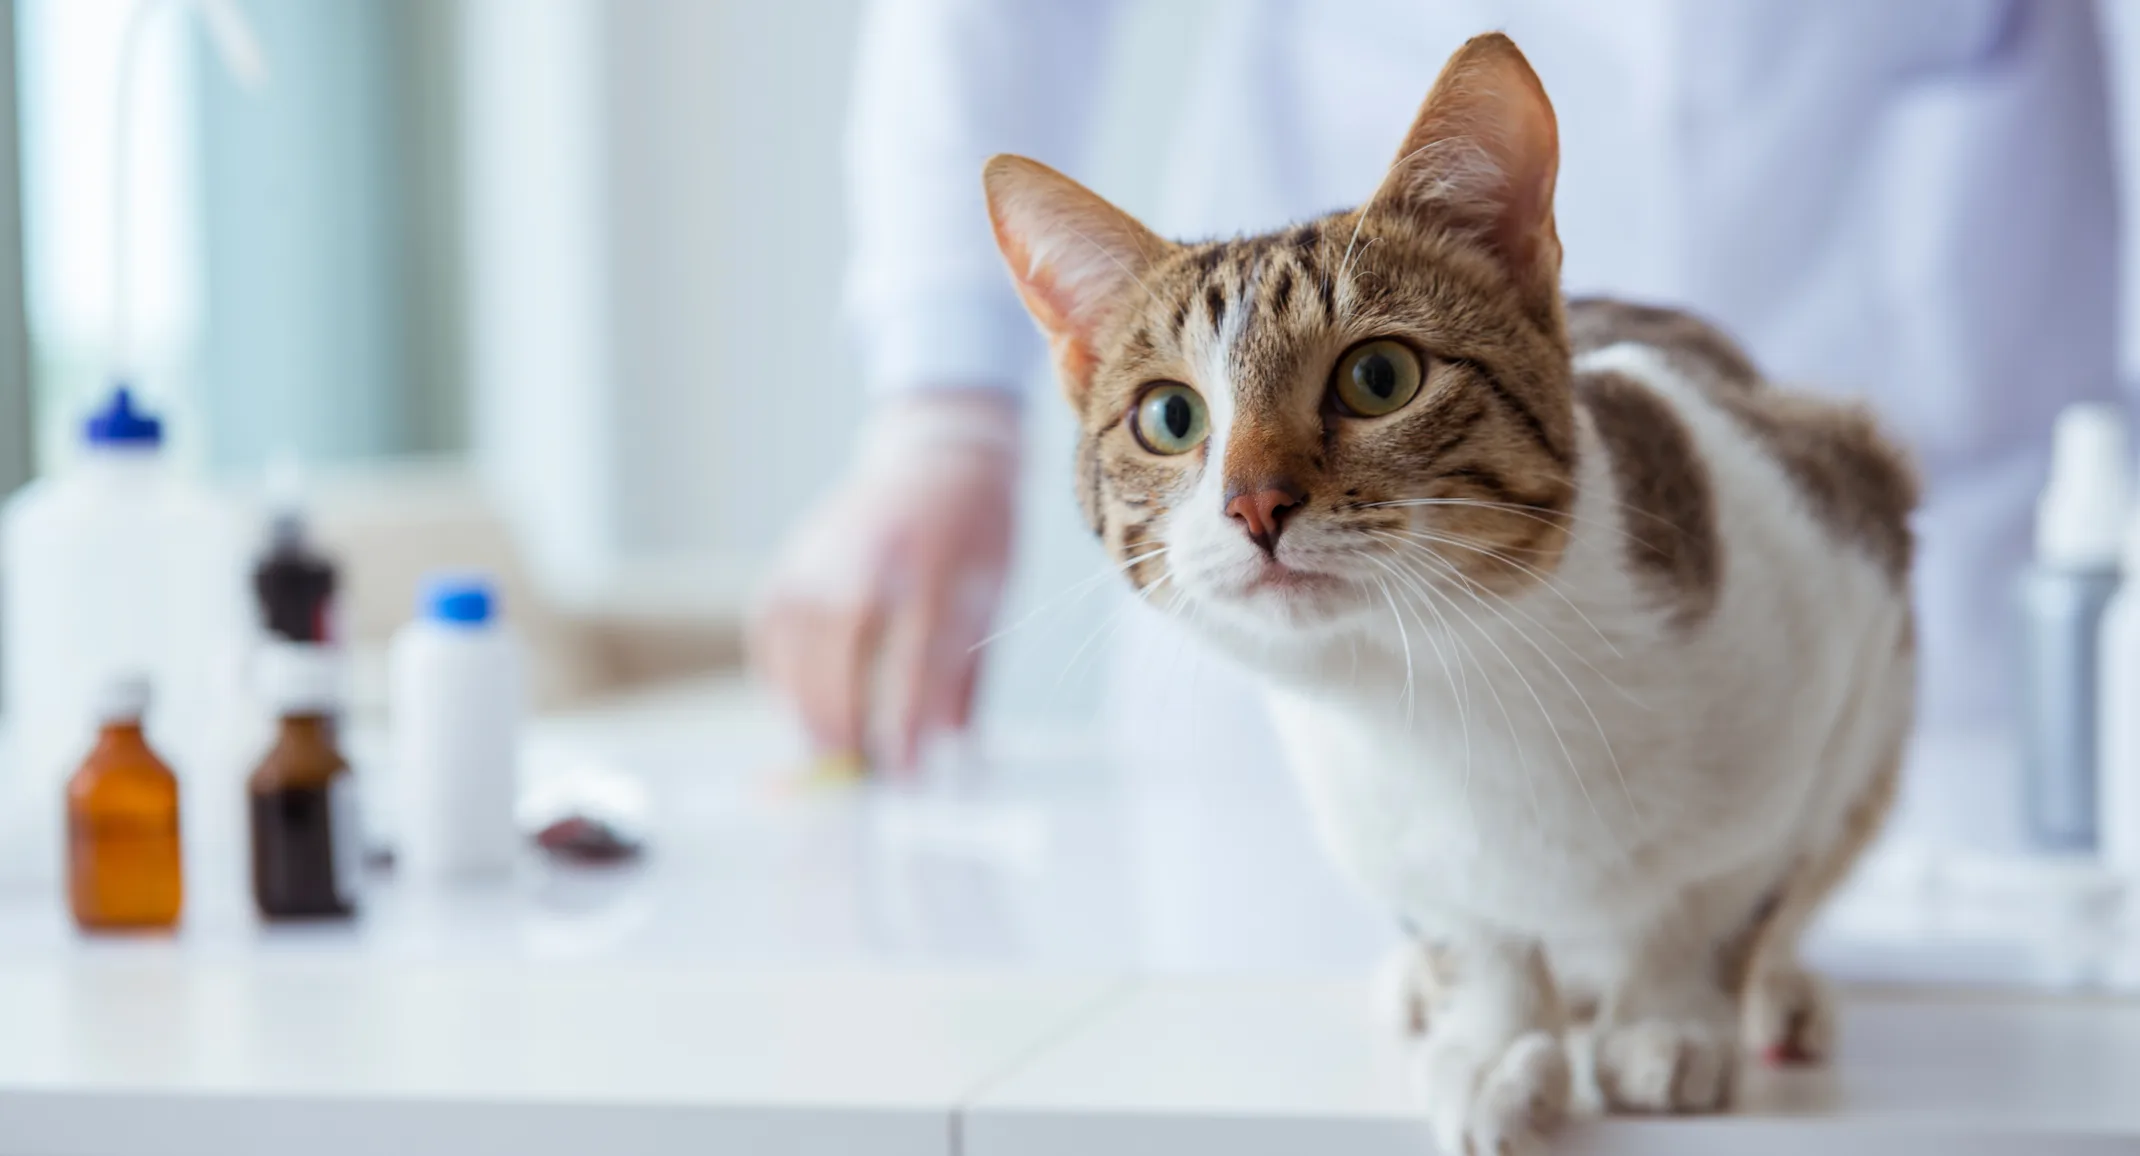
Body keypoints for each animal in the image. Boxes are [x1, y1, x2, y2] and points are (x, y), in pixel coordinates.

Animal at [980, 27, 1917, 1156]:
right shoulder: (1381, 828)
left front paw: (1669, 1018)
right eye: (1170, 416)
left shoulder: (1842, 591)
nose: (1254, 503)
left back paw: (1775, 994)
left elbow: (1724, 892)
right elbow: (1472, 928)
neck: (1456, 683)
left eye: (1378, 377)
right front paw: (1495, 1040)